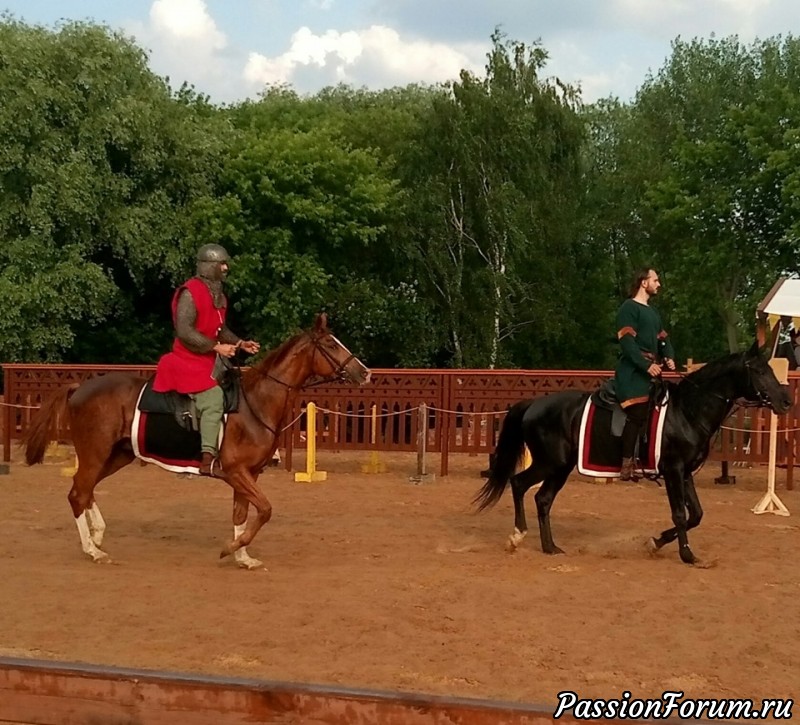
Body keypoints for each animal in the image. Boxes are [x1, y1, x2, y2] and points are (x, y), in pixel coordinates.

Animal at [23, 312, 370, 564]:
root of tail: (79, 388)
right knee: (78, 492)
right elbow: (265, 510)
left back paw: (97, 535)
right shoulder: (237, 472)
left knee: (86, 490)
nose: (364, 372)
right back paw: (92, 550)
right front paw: (230, 548)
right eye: (331, 344)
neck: (255, 401)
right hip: (94, 452)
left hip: (117, 454)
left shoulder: (249, 474)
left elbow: (243, 513)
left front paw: (242, 555)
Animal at [476, 346, 792, 564]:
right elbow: (680, 514)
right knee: (519, 484)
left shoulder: (685, 473)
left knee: (542, 499)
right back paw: (517, 536)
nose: (786, 401)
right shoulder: (673, 470)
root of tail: (532, 404)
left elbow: (696, 514)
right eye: (759, 371)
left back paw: (549, 546)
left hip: (559, 468)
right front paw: (686, 555)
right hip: (550, 463)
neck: (687, 411)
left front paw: (657, 541)